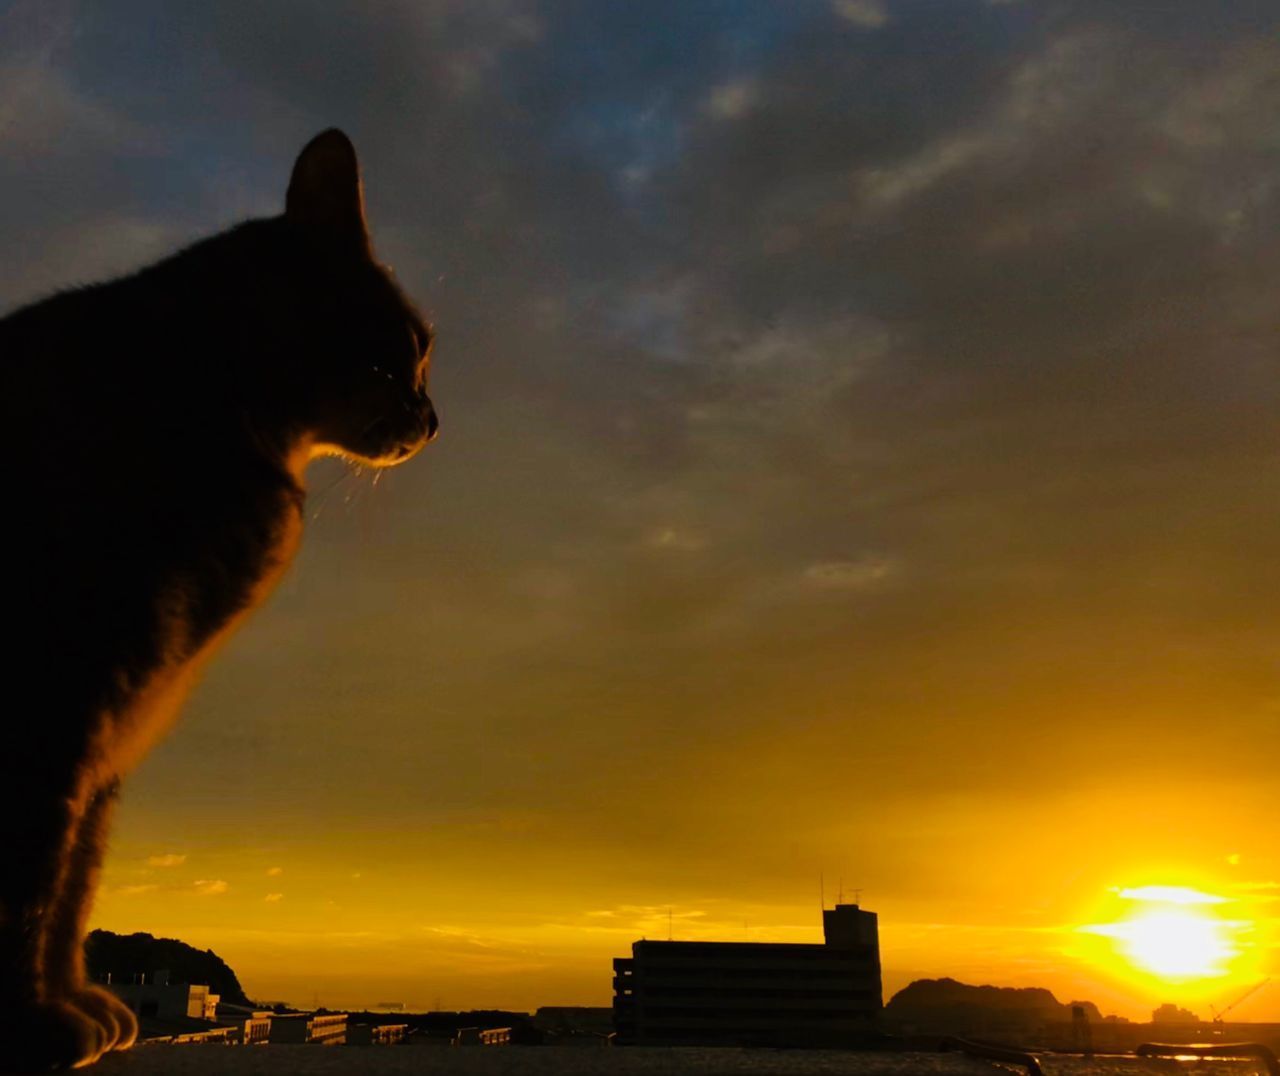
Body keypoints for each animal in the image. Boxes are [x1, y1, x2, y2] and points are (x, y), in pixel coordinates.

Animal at [0, 126, 437, 1064]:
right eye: (411, 350)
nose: (433, 418)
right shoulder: (70, 684)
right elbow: (34, 870)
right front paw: (29, 1017)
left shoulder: (119, 720)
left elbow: (75, 877)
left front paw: (68, 999)